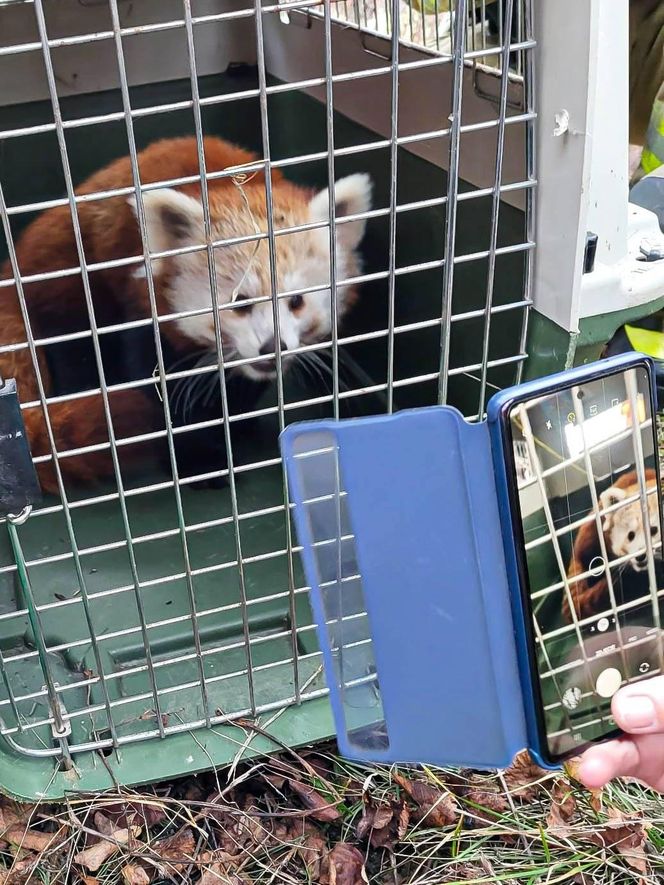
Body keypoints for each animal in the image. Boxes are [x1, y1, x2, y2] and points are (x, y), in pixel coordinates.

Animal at [0, 139, 374, 498]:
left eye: (296, 301)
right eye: (240, 302)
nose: (272, 347)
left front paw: (236, 424)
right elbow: (161, 396)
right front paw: (200, 461)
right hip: (69, 285)